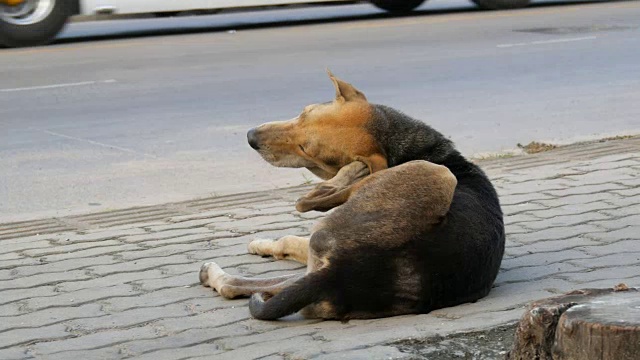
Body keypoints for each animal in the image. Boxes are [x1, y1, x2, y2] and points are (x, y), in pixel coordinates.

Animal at [200, 71, 504, 320]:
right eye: (303, 113)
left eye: (306, 149)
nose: (250, 136)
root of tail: (343, 273)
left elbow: (289, 237)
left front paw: (262, 244)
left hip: (438, 174)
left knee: (240, 281)